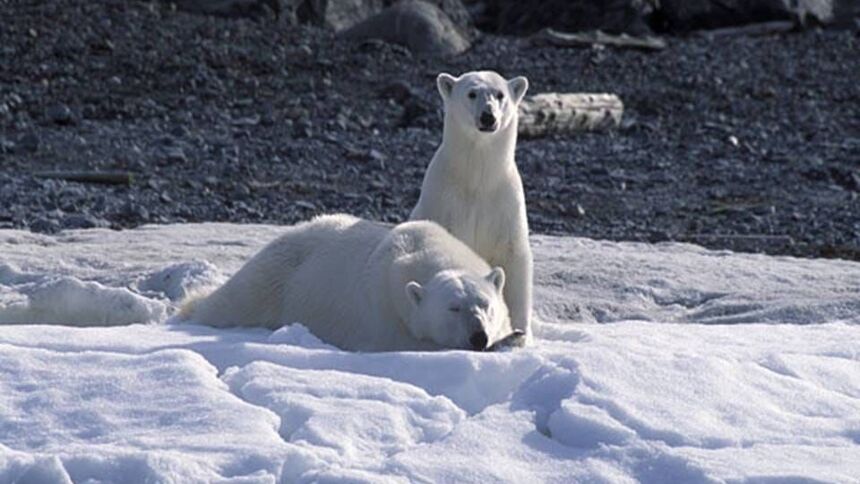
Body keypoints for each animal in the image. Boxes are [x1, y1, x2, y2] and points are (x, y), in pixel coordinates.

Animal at [181, 216, 512, 352]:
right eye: (453, 308)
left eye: (485, 304)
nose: (478, 337)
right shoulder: (384, 311)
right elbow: (403, 343)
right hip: (273, 280)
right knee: (233, 302)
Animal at [412, 71, 536, 344]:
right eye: (471, 93)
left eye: (500, 94)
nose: (488, 116)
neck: (477, 179)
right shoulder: (445, 201)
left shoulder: (505, 203)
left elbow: (514, 259)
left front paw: (521, 332)